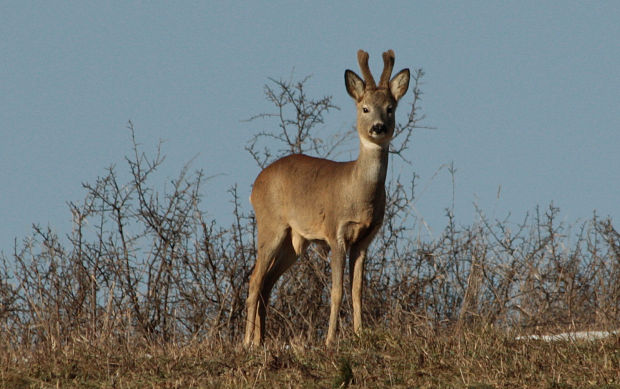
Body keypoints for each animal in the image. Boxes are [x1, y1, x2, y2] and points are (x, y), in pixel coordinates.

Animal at [245, 49, 410, 346]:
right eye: (365, 108)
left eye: (390, 108)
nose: (378, 127)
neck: (358, 193)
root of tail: (255, 185)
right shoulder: (336, 233)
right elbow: (336, 291)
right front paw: (331, 340)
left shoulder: (365, 240)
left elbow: (357, 291)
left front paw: (359, 333)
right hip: (270, 225)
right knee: (254, 280)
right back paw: (246, 343)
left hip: (293, 242)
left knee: (267, 283)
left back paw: (260, 341)